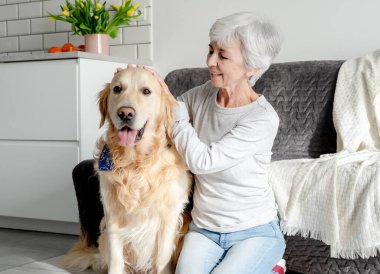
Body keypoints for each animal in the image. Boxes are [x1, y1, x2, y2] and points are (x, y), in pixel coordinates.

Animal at [63, 67, 193, 274]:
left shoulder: (169, 215)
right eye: (117, 89)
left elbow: (161, 258)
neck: (135, 163)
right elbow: (116, 258)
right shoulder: (112, 213)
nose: (125, 113)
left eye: (146, 91)